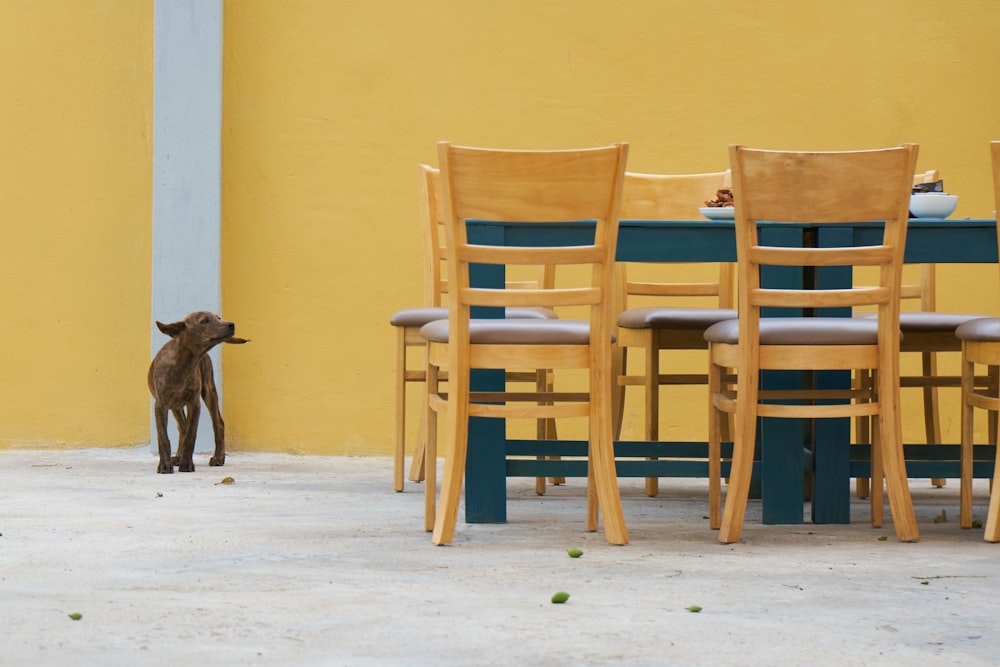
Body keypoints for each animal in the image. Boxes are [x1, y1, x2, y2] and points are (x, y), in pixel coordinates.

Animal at [148, 314, 250, 474]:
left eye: (218, 318)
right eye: (204, 321)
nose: (231, 324)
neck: (182, 364)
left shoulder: (194, 404)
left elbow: (190, 435)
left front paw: (186, 463)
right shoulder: (161, 405)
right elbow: (163, 437)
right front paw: (165, 464)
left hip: (209, 391)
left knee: (218, 423)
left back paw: (218, 458)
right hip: (176, 406)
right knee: (182, 427)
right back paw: (178, 457)